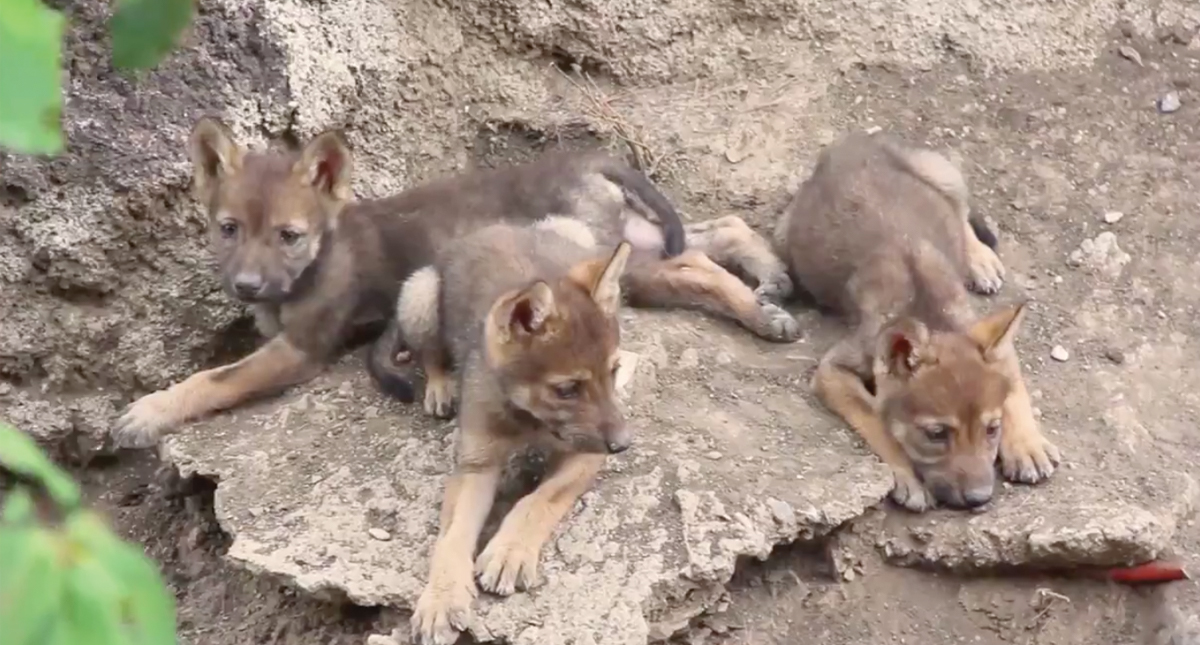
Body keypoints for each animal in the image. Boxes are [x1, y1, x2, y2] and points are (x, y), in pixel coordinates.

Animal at [111, 116, 797, 448]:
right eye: (227, 229)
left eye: (288, 235)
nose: (248, 287)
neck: (320, 254)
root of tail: (589, 157)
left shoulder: (300, 351)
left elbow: (213, 378)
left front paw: (147, 412)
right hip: (640, 247)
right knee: (717, 237)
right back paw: (771, 287)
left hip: (615, 259)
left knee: (698, 263)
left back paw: (765, 307)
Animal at [774, 131, 1061, 512]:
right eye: (936, 434)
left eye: (991, 429)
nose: (979, 499)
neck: (928, 311)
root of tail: (850, 142)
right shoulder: (833, 369)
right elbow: (877, 421)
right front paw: (907, 476)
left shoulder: (985, 335)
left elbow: (1015, 390)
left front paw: (1027, 446)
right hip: (783, 239)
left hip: (944, 174)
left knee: (961, 212)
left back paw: (980, 260)